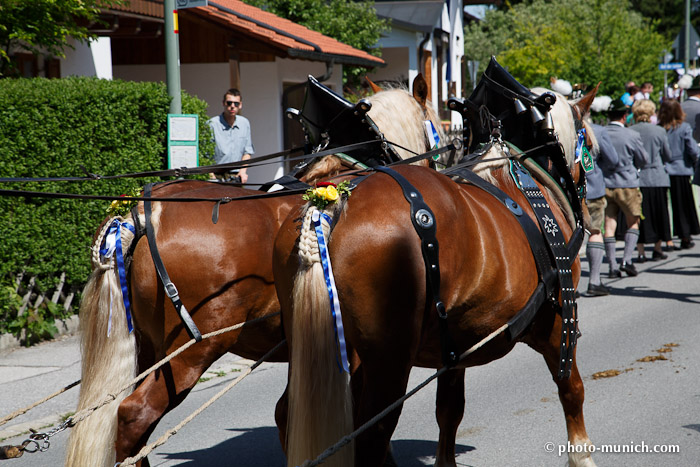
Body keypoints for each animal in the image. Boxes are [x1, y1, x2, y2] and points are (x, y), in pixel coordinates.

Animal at [67, 77, 448, 467]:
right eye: (437, 126)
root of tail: (144, 213)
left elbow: (293, 416)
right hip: (190, 352)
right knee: (135, 415)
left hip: (147, 349)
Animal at [270, 88, 600, 467]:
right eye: (590, 144)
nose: (588, 212)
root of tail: (329, 202)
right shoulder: (559, 321)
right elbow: (571, 388)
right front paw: (582, 455)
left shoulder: (456, 342)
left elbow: (449, 410)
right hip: (388, 363)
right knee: (372, 435)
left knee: (288, 413)